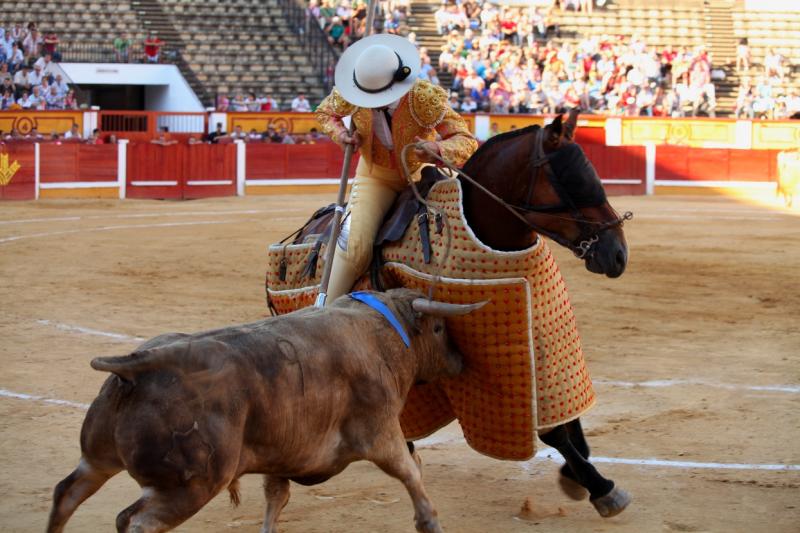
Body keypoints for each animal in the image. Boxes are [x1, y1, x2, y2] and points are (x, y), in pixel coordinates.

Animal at [47, 288, 484, 532]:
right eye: (440, 329)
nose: (461, 361)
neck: (385, 328)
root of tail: (137, 366)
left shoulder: (284, 454)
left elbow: (276, 499)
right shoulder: (381, 431)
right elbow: (411, 472)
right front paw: (429, 522)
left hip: (98, 458)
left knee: (67, 493)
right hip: (191, 486)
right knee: (136, 522)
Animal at [294, 111, 632, 516]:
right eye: (571, 181)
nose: (618, 254)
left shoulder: (543, 341)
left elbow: (565, 415)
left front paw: (575, 472)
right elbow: (552, 431)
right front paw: (600, 487)